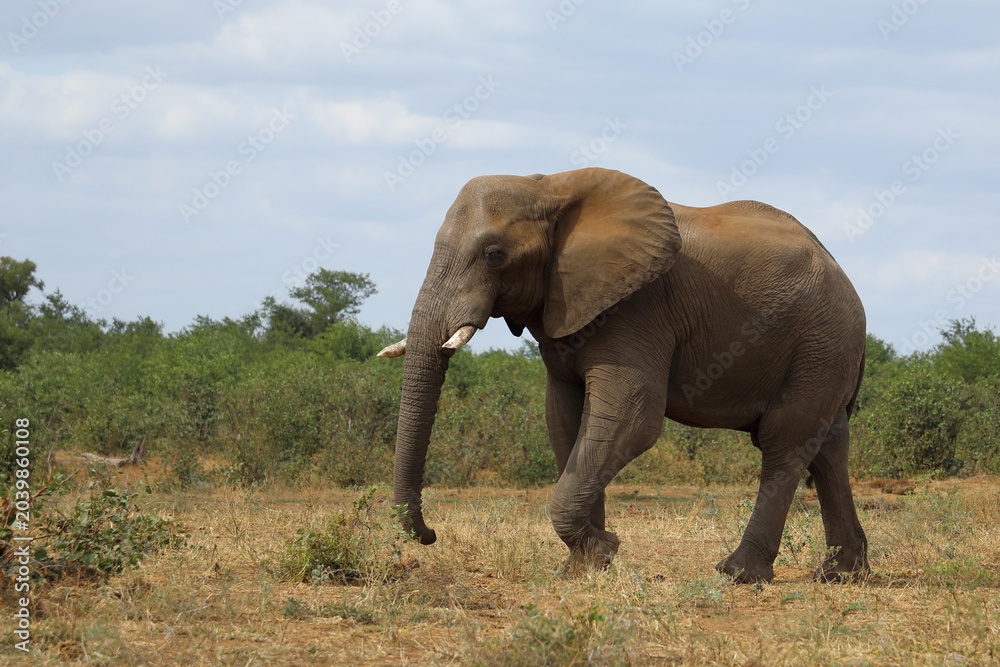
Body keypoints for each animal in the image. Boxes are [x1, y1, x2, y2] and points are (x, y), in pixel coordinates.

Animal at [378, 167, 869, 584]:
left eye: (494, 255)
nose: (430, 535)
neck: (548, 186)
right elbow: (565, 421)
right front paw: (584, 567)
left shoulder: (639, 308)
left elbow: (632, 418)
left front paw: (602, 550)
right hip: (824, 350)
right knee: (828, 446)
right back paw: (841, 574)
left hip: (821, 340)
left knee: (786, 441)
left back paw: (738, 574)